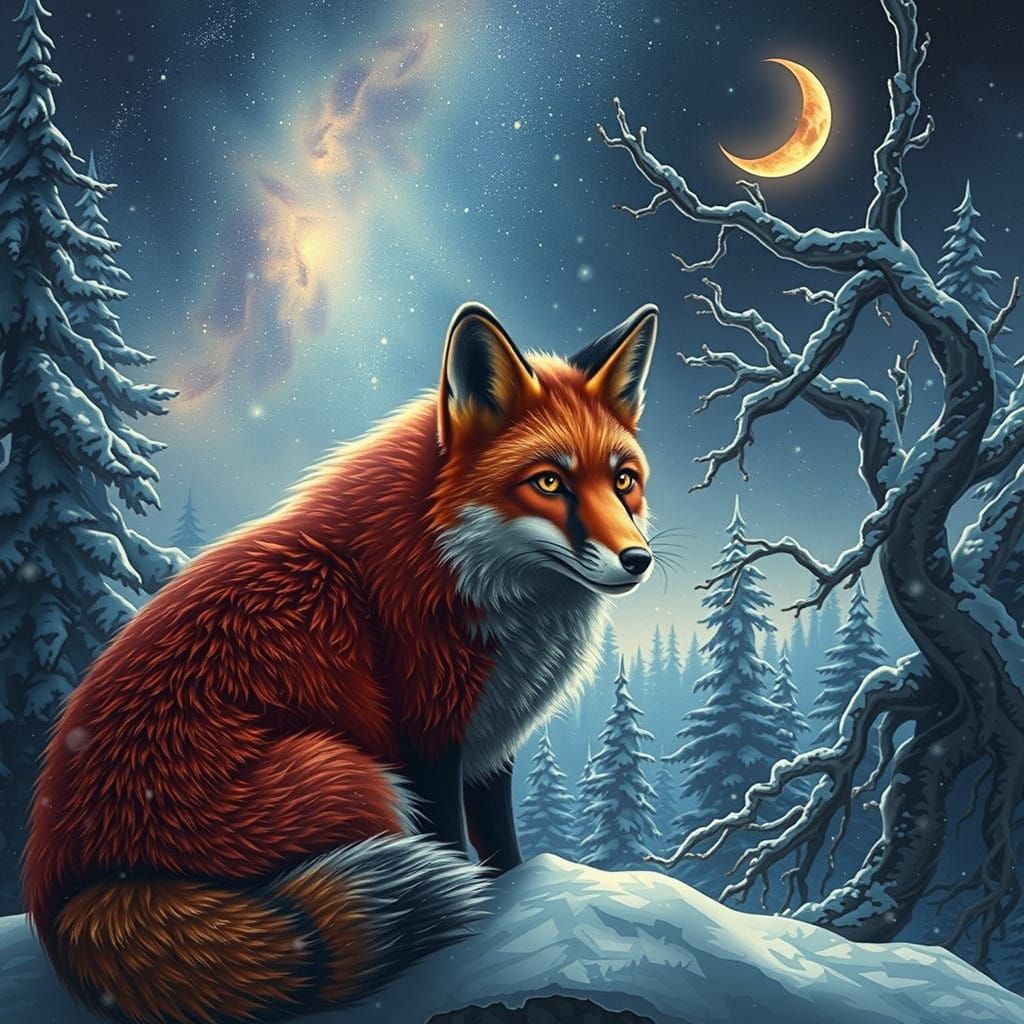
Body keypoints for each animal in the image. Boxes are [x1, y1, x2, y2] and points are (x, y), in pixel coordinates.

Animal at [24, 300, 658, 1024]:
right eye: (549, 481)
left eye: (623, 480)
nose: (637, 560)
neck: (453, 566)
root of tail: (63, 899)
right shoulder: (430, 736)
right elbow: (456, 846)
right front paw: (477, 934)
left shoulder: (491, 741)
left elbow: (504, 848)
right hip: (353, 774)